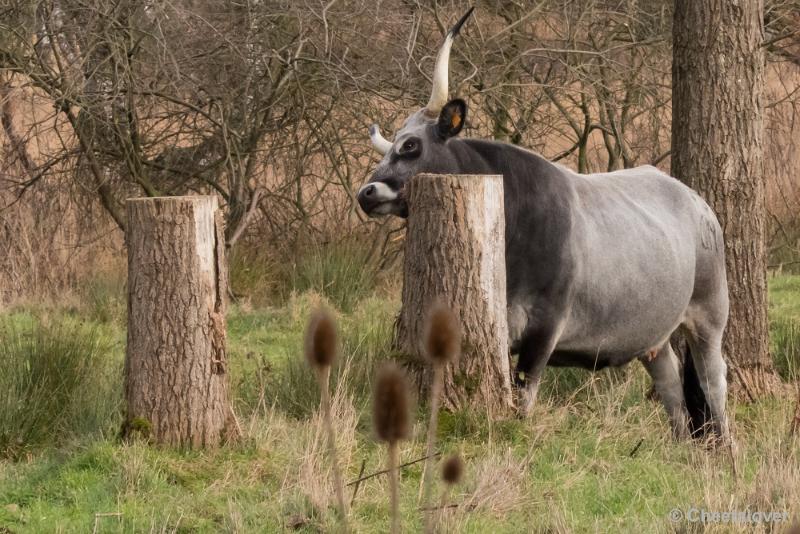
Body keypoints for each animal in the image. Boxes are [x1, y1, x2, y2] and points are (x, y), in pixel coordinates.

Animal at [360, 9, 728, 444]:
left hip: (709, 314)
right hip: (654, 334)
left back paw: (727, 448)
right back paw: (682, 447)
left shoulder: (545, 328)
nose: (367, 192)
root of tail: (695, 200)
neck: (515, 228)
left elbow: (524, 396)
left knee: (713, 380)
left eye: (411, 146)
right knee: (671, 387)